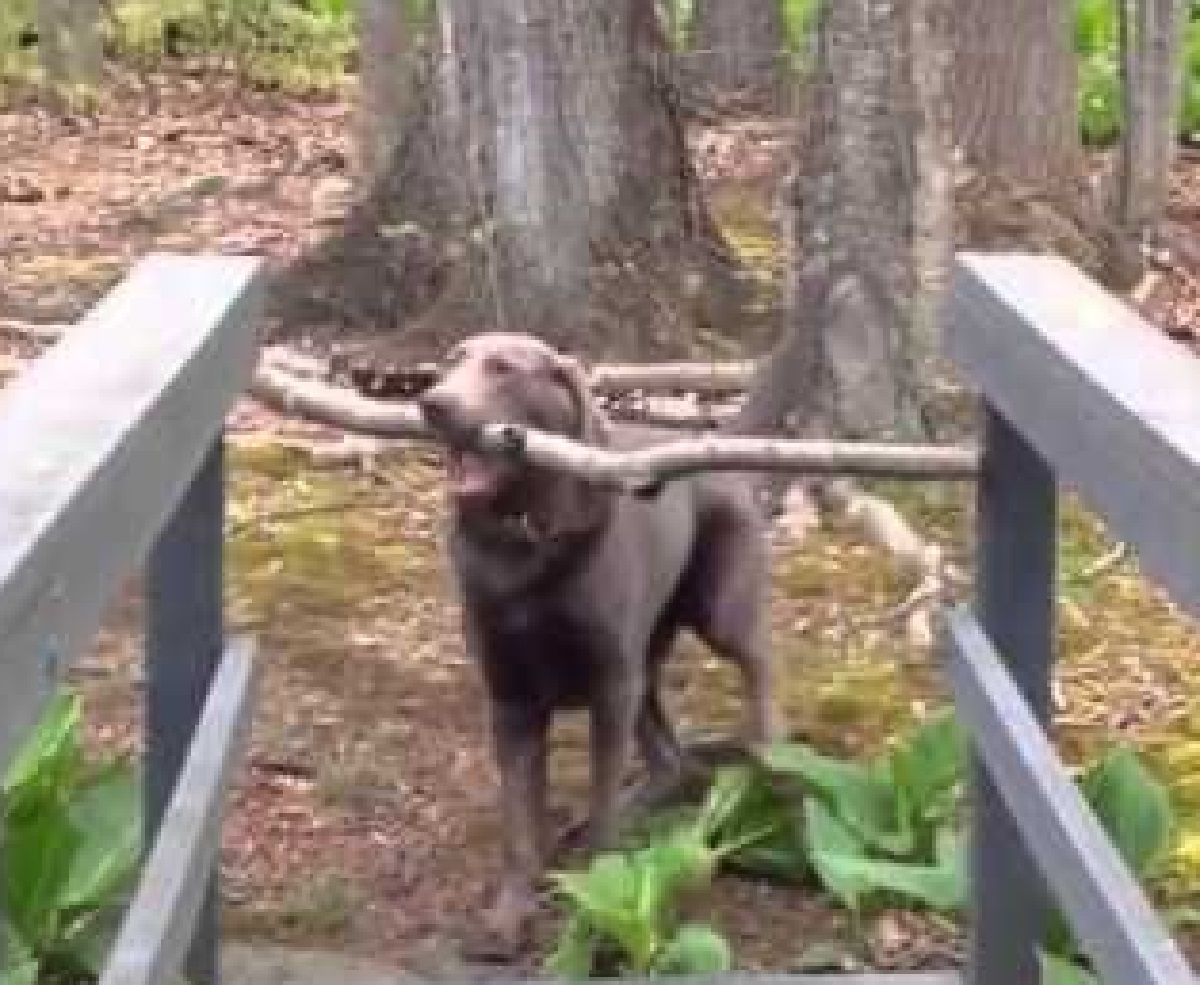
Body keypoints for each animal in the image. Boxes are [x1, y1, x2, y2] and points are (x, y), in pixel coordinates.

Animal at [420, 331, 777, 955]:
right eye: (449, 362)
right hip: (646, 661)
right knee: (670, 760)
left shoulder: (609, 686)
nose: (431, 403)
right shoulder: (509, 697)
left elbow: (601, 795)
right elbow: (520, 822)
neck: (524, 540)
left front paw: (597, 906)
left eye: (503, 368)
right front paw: (510, 917)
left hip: (717, 613)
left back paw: (772, 758)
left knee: (760, 667)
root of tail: (705, 441)